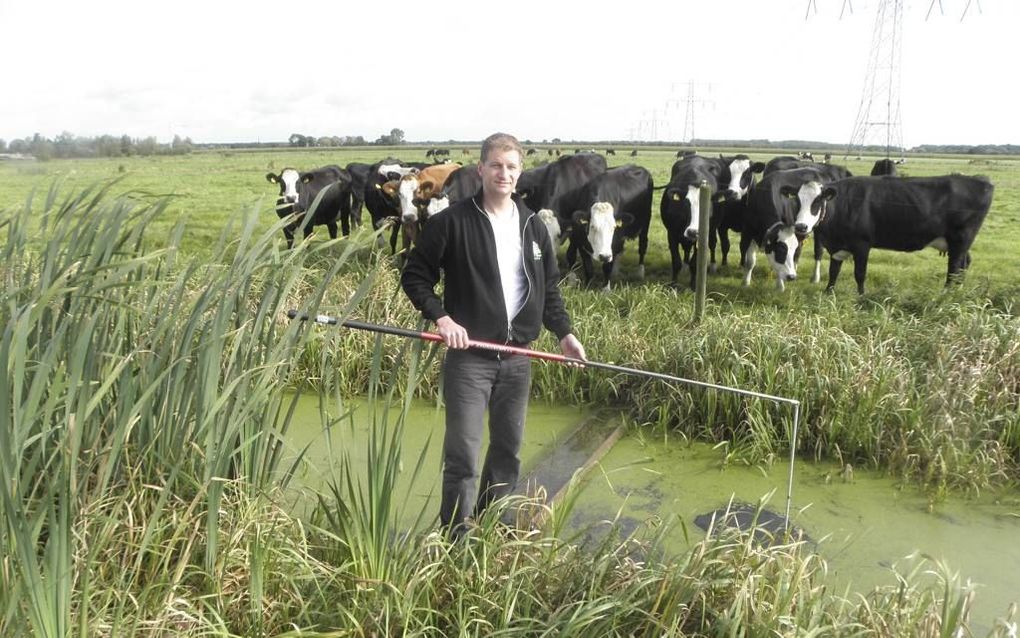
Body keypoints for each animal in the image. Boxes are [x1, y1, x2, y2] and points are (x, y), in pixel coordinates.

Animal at [787, 174, 995, 293]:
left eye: (818, 201)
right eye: (797, 200)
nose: (801, 227)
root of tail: (982, 181)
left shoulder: (862, 244)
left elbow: (860, 274)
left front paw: (861, 297)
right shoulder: (838, 247)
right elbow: (833, 272)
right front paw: (828, 293)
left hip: (961, 239)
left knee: (954, 268)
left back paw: (945, 295)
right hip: (958, 243)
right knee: (964, 264)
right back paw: (957, 292)